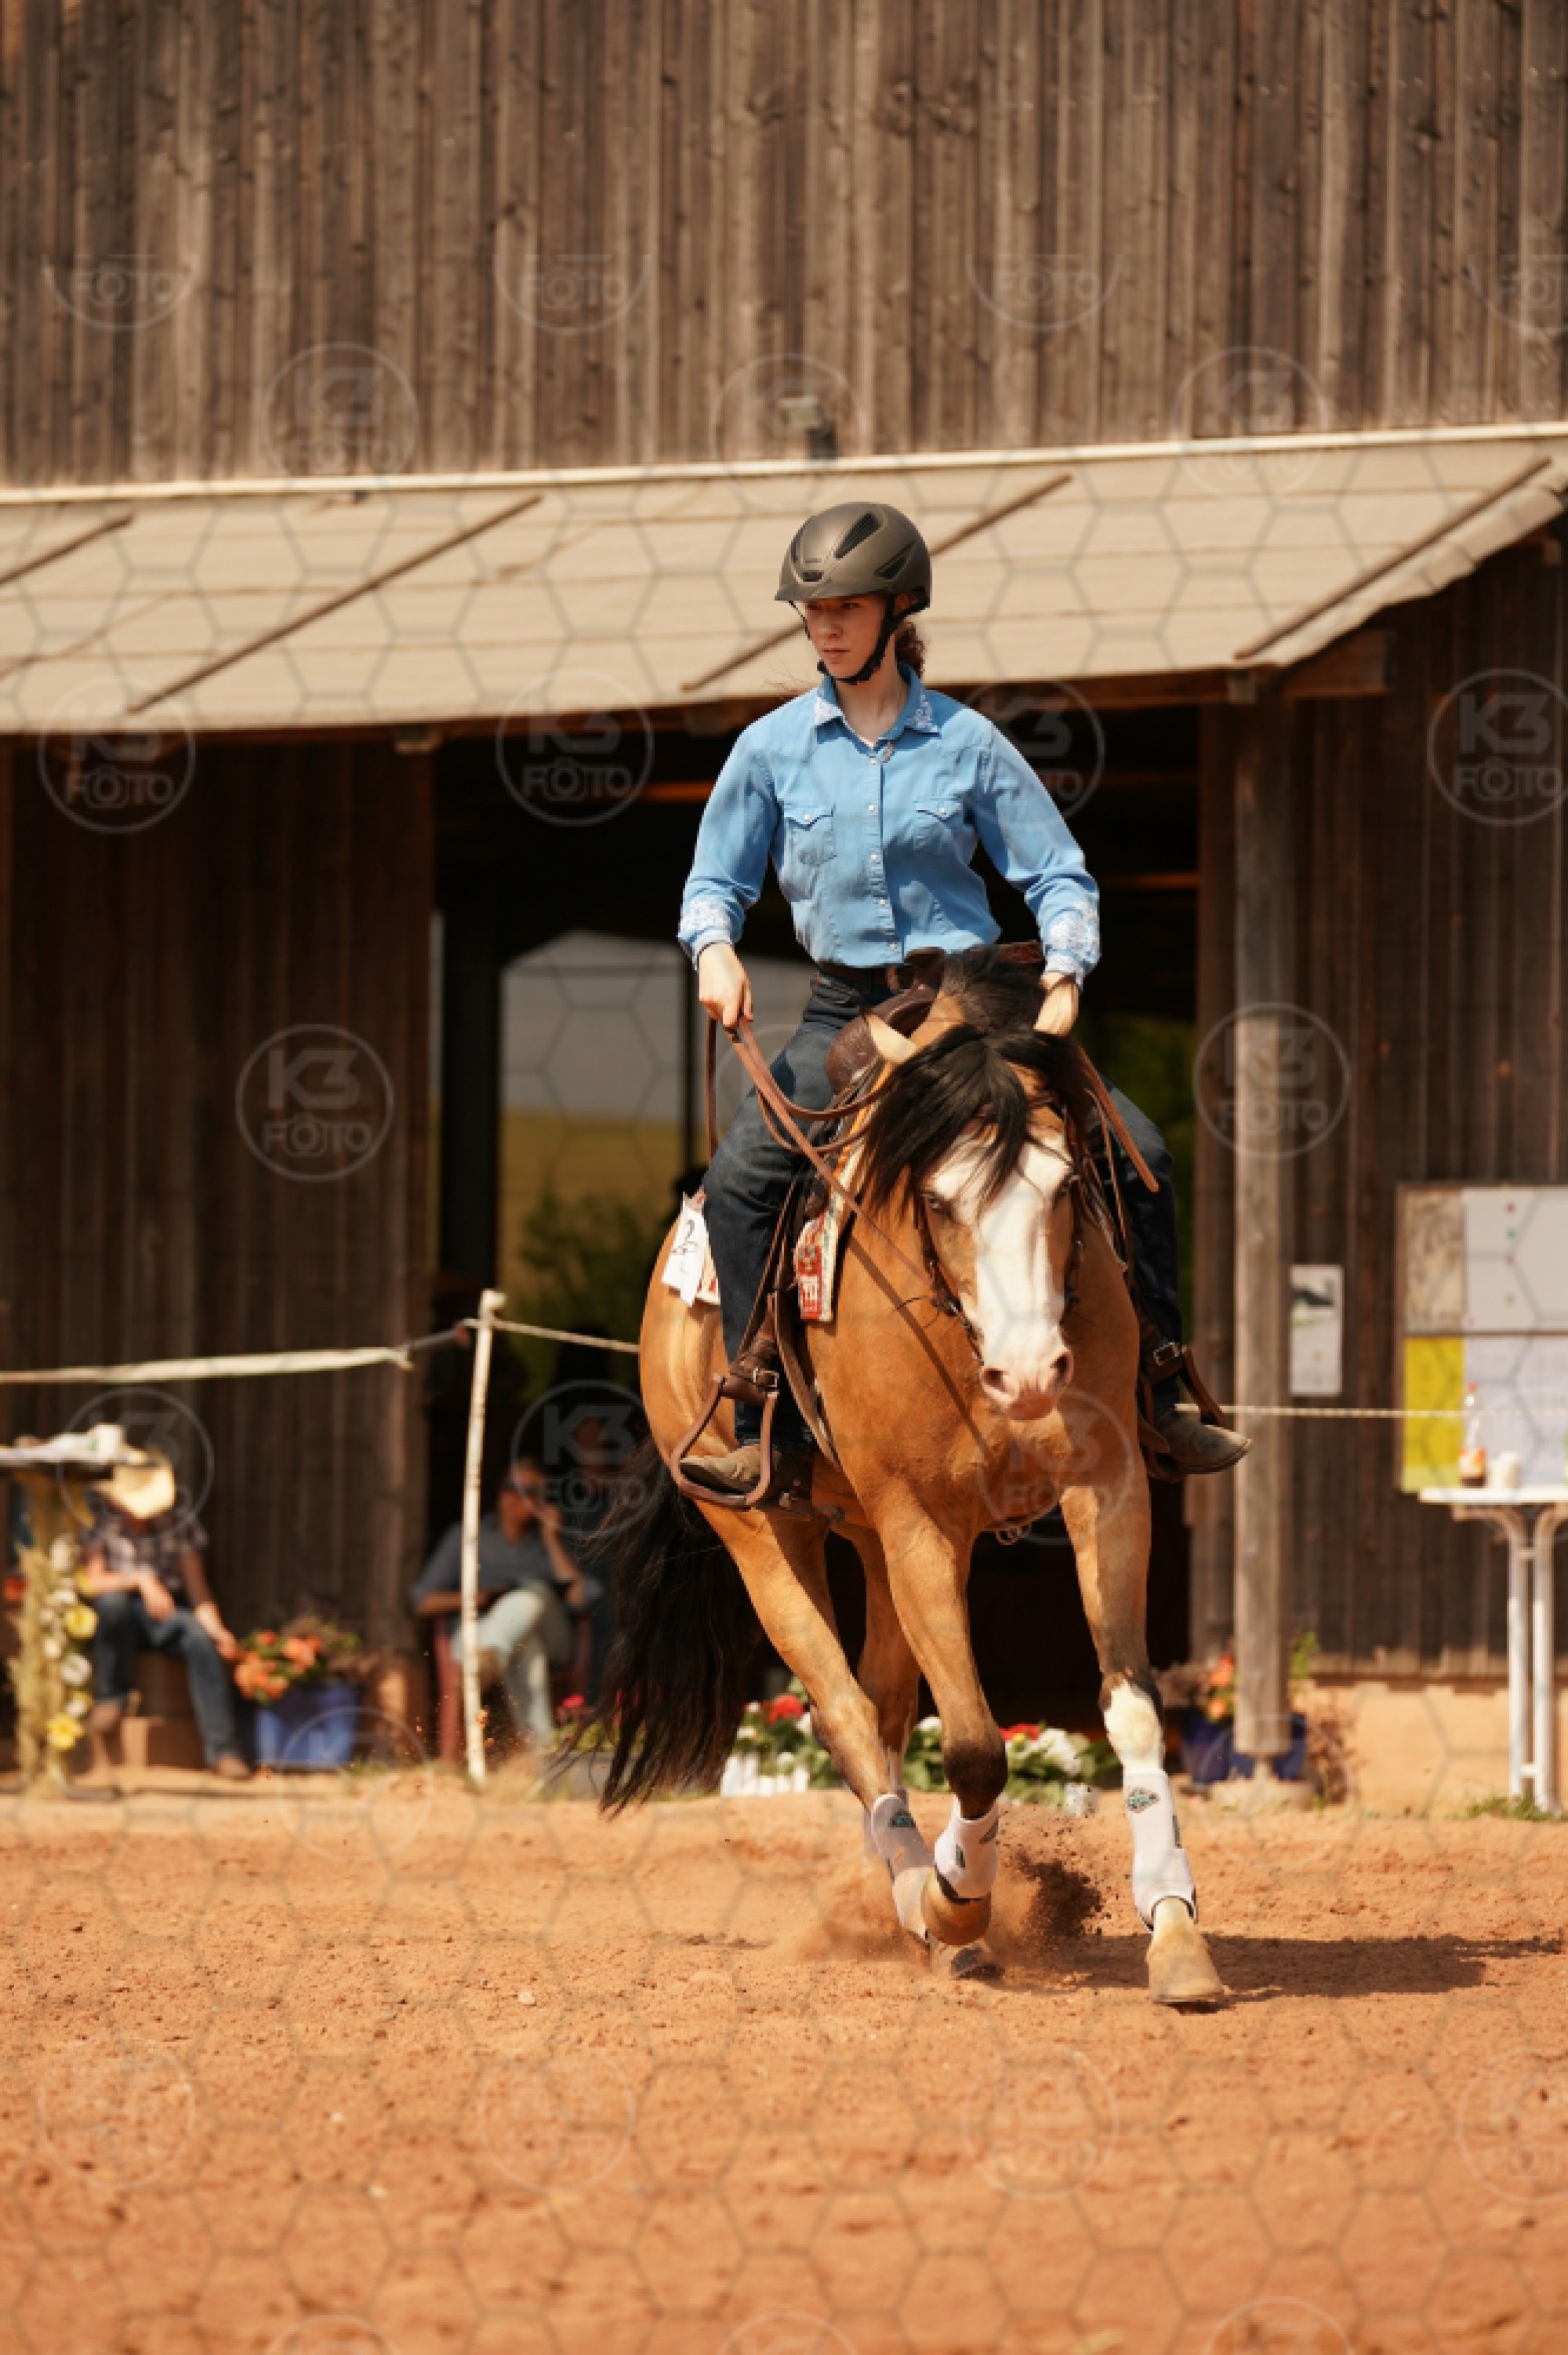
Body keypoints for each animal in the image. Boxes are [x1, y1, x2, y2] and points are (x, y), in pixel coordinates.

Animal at [597, 949, 1223, 2006]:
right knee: (844, 1713)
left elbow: (1131, 1704)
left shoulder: (1106, 1489)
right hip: (767, 1536)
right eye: (936, 1199)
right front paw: (952, 1902)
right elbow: (972, 1747)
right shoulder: (920, 1520)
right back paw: (911, 1899)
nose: (1027, 1373)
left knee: (884, 1708)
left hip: (877, 1542)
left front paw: (1175, 1930)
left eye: (1065, 1186)